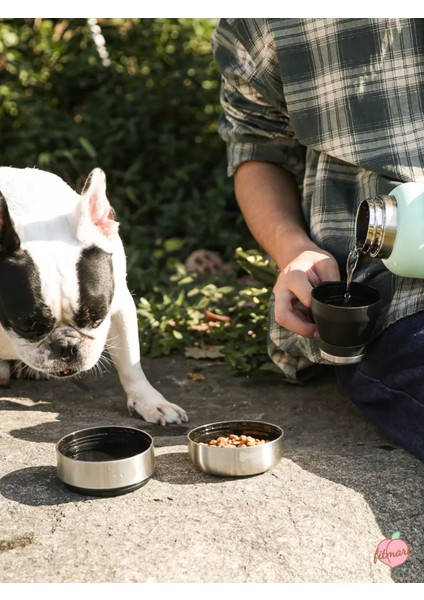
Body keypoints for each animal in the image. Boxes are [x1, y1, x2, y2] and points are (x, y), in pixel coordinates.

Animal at [0, 166, 187, 424]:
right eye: (26, 326)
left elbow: (130, 361)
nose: (66, 345)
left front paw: (150, 402)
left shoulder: (119, 306)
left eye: (97, 318)